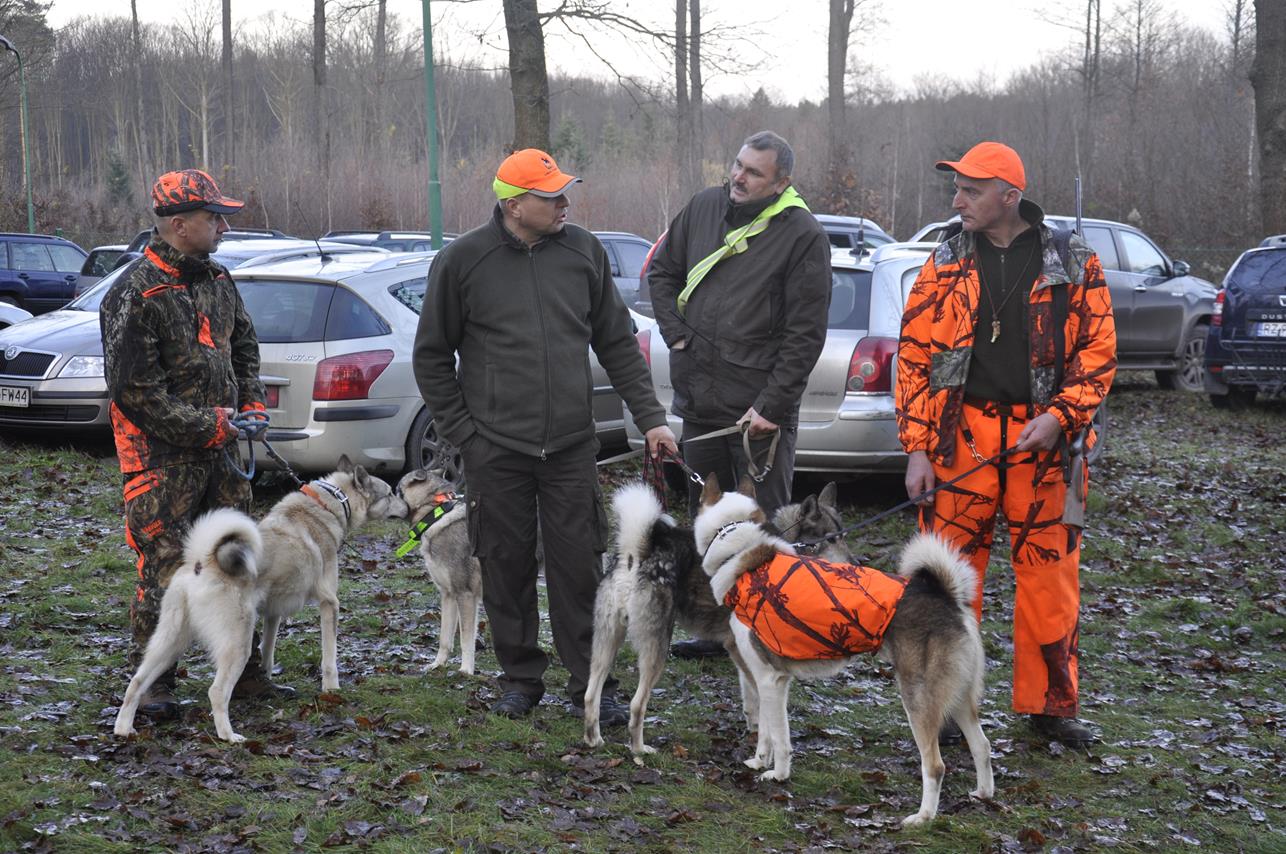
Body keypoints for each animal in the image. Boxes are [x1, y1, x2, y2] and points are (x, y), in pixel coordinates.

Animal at [115, 457, 408, 745]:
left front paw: (267, 680)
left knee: (136, 682)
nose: (407, 506)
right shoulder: (329, 604)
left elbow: (267, 650)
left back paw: (124, 728)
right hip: (236, 643)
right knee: (216, 691)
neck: (329, 502)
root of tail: (203, 560)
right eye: (390, 493)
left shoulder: (272, 613)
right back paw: (228, 736)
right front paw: (332, 689)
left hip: (170, 641)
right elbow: (329, 657)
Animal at [393, 468, 480, 673]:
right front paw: (438, 665)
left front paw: (466, 671)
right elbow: (444, 639)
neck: (435, 514)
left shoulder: (465, 594)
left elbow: (466, 640)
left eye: (397, 490)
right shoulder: (448, 595)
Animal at [583, 481, 853, 756]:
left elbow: (752, 697)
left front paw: (755, 728)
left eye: (843, 536)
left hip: (605, 645)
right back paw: (639, 750)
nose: (855, 562)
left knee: (590, 695)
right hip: (655, 648)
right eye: (830, 539)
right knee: (637, 704)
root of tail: (636, 553)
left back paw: (594, 739)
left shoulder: (740, 649)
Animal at [699, 475, 987, 823]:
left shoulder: (769, 680)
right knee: (983, 746)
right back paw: (983, 794)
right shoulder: (768, 679)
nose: (853, 563)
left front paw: (778, 775)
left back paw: (922, 818)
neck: (743, 554)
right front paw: (758, 761)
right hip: (958, 698)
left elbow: (779, 736)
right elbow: (766, 730)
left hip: (918, 699)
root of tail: (946, 597)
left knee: (935, 766)